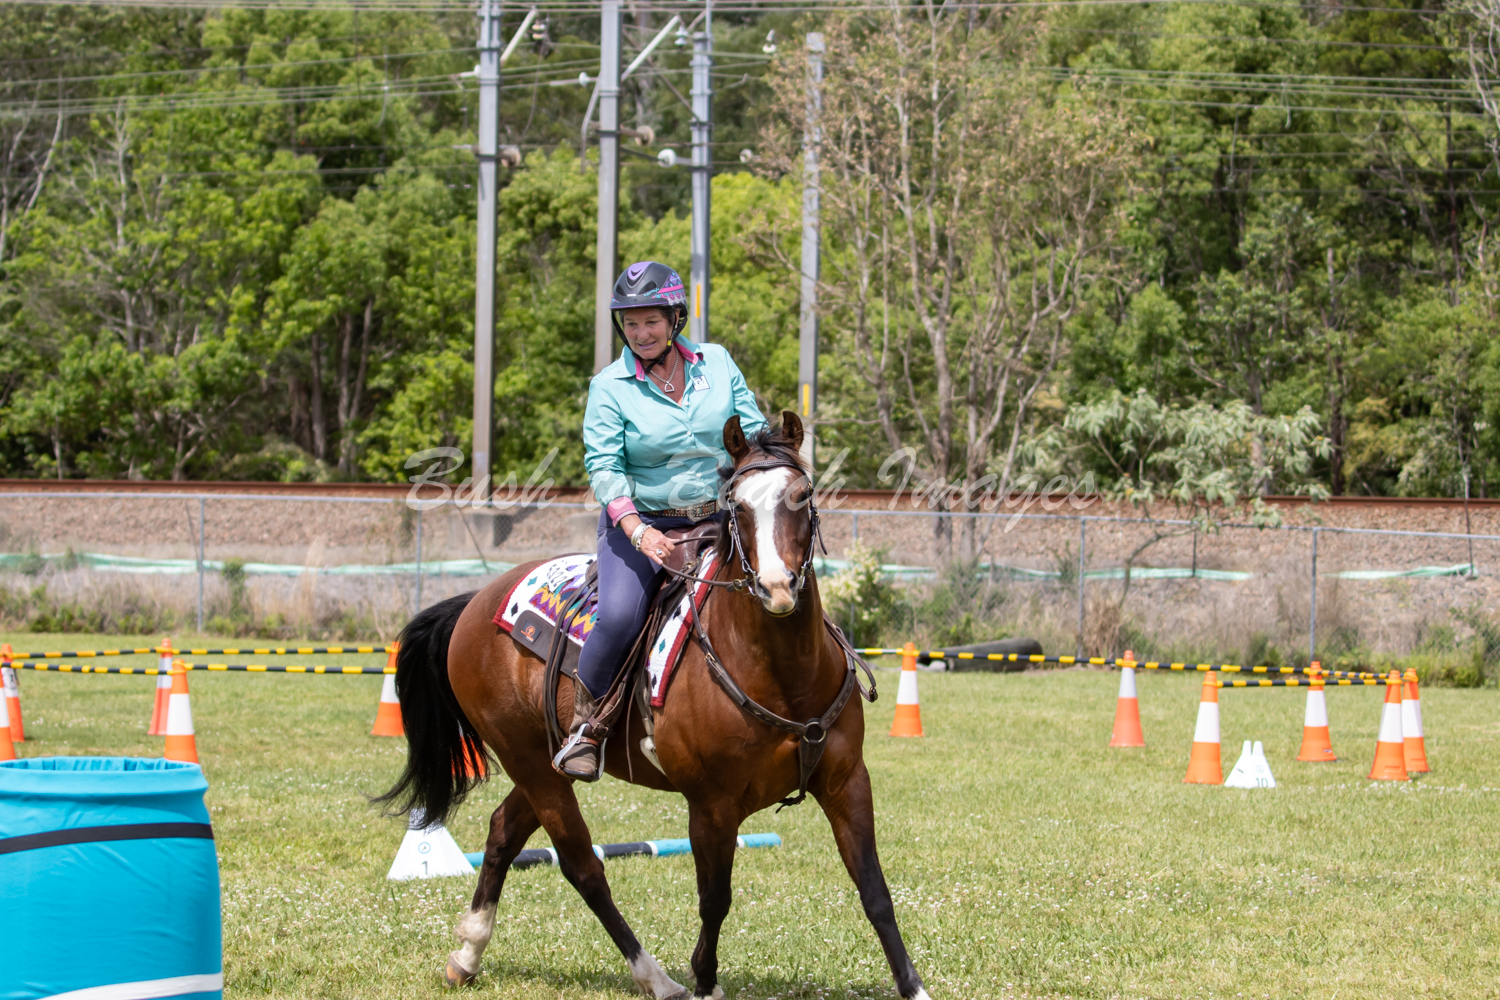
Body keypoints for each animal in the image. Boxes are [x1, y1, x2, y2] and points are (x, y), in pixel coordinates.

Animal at [378, 411, 930, 1000]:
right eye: (737, 506)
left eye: (801, 496)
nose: (777, 588)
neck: (783, 674)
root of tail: (475, 602)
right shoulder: (711, 807)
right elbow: (715, 901)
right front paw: (704, 981)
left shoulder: (847, 784)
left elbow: (875, 891)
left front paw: (913, 986)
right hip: (532, 765)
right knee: (583, 867)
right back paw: (655, 977)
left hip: (543, 765)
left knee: (504, 831)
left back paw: (467, 954)